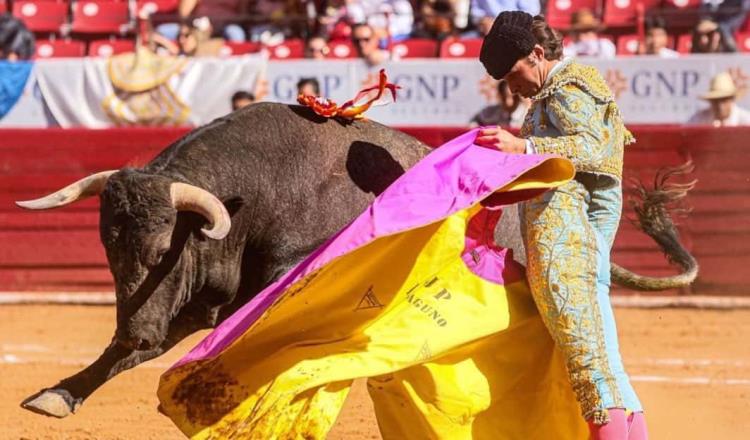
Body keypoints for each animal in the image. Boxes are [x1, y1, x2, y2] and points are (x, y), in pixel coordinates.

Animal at [17, 101, 700, 418]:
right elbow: (135, 352)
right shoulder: (204, 300)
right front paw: (59, 394)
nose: (135, 326)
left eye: (163, 248)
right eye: (109, 250)